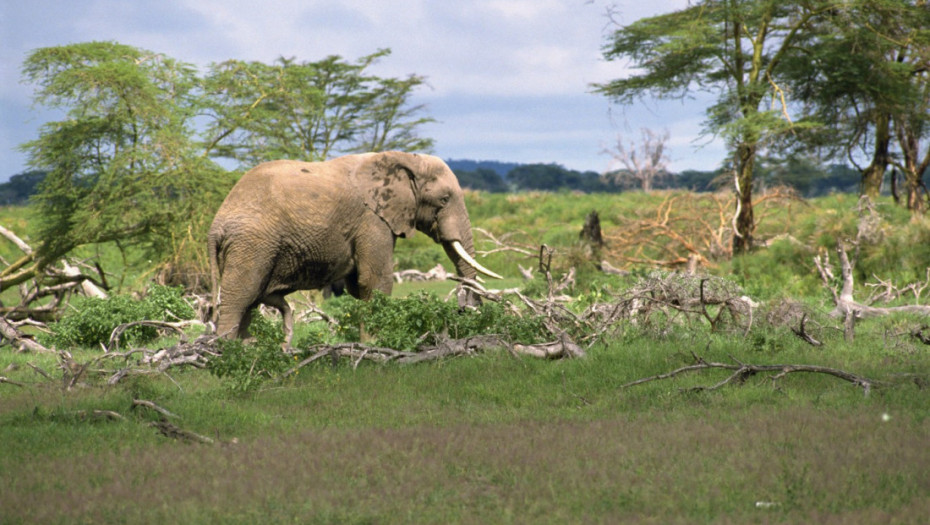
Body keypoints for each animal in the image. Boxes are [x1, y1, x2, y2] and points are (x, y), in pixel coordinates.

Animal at [208, 150, 500, 344]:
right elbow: (375, 281)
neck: (404, 158)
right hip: (251, 244)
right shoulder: (372, 220)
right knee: (240, 297)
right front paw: (374, 347)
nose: (465, 309)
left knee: (249, 302)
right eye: (444, 199)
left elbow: (358, 286)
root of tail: (215, 226)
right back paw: (225, 356)